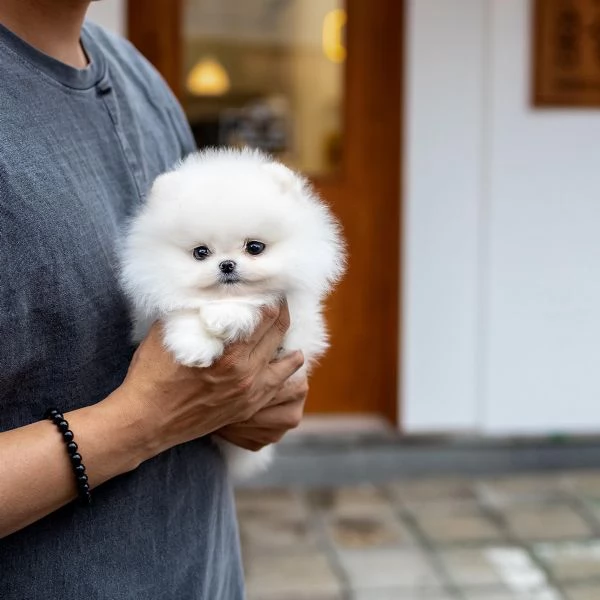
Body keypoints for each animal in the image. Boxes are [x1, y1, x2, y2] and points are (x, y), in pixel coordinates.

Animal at [120, 146, 346, 478]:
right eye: (201, 252)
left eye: (254, 247)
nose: (227, 265)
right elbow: (182, 310)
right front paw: (194, 347)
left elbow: (253, 301)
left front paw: (225, 317)